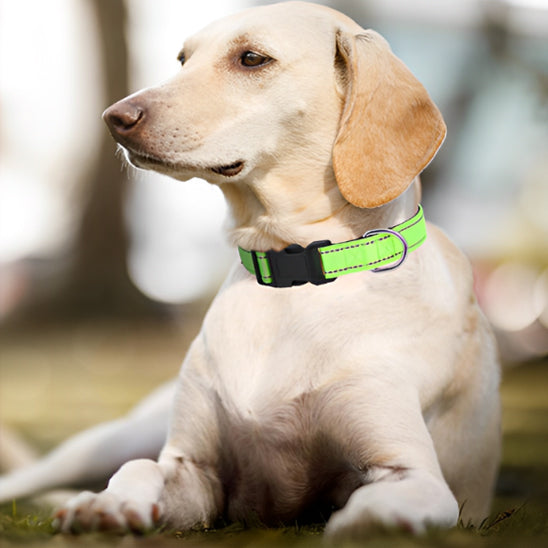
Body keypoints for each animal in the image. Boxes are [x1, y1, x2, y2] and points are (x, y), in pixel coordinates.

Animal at [0, 1, 500, 540]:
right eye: (182, 59)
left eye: (252, 58)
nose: (115, 117)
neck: (289, 273)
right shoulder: (195, 471)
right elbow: (142, 469)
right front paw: (109, 504)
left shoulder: (411, 471)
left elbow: (377, 504)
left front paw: (365, 521)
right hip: (109, 441)